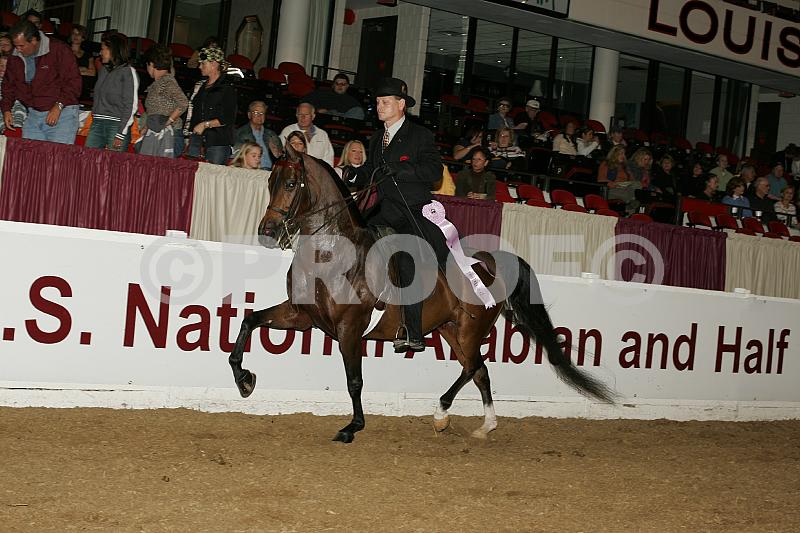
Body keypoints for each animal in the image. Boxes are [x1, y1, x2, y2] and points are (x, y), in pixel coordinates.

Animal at [228, 148, 614, 443]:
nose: (267, 231)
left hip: (469, 330)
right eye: (270, 182)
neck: (330, 254)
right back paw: (483, 426)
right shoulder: (301, 316)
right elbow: (249, 321)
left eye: (291, 184)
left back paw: (442, 412)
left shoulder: (349, 328)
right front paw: (245, 380)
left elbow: (354, 381)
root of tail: (488, 262)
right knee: (480, 370)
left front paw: (352, 427)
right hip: (450, 329)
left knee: (474, 367)